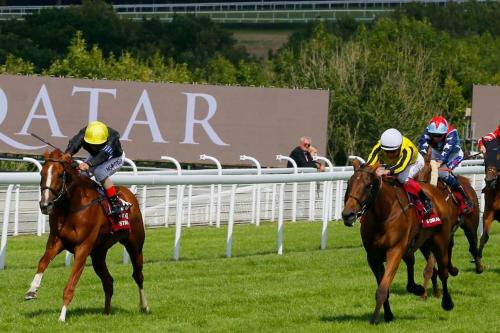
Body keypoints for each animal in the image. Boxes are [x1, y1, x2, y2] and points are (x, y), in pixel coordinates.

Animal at [24, 149, 150, 320]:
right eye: (41, 173)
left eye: (60, 175)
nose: (45, 205)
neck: (71, 207)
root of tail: (129, 195)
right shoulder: (57, 241)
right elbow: (42, 262)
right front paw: (32, 290)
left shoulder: (82, 248)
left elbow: (71, 284)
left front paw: (62, 316)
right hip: (98, 254)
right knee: (108, 281)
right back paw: (106, 313)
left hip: (135, 245)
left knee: (138, 275)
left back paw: (144, 306)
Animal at [342, 160, 456, 322]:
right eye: (349, 183)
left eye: (368, 186)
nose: (348, 215)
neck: (384, 213)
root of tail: (435, 191)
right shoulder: (373, 257)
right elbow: (384, 287)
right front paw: (388, 315)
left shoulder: (395, 251)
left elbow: (382, 289)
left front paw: (374, 319)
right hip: (421, 243)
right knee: (412, 263)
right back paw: (417, 288)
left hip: (440, 242)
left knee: (443, 272)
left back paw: (447, 302)